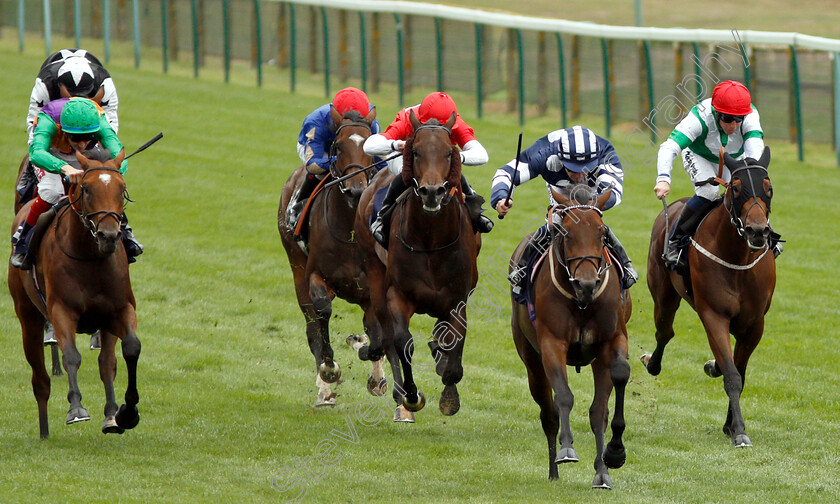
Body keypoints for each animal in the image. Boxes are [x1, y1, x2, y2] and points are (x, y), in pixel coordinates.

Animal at [8, 149, 141, 438]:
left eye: (122, 188)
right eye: (86, 188)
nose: (109, 235)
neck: (91, 258)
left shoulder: (119, 309)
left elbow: (129, 349)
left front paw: (126, 413)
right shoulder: (61, 310)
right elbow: (70, 355)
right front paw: (76, 409)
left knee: (106, 362)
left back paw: (111, 415)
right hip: (27, 315)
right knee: (39, 377)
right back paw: (44, 430)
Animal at [280, 105, 388, 406]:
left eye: (370, 147)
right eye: (337, 146)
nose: (356, 190)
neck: (349, 231)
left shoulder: (371, 288)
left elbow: (377, 338)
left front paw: (369, 362)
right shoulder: (317, 275)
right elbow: (322, 311)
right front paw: (329, 368)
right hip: (296, 267)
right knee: (312, 325)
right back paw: (324, 388)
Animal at [350, 110, 480, 422]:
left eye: (449, 153)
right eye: (416, 151)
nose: (432, 192)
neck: (431, 240)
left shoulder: (457, 298)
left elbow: (453, 345)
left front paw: (449, 395)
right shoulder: (398, 295)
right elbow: (402, 341)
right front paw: (411, 394)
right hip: (375, 275)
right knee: (386, 337)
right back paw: (400, 394)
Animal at [512, 187, 632, 486]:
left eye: (601, 232)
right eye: (566, 233)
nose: (586, 284)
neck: (582, 303)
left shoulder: (611, 341)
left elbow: (612, 389)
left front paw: (612, 457)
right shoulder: (552, 343)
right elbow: (564, 397)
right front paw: (567, 448)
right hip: (530, 359)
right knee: (548, 413)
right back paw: (553, 471)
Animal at [644, 148, 776, 446]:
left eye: (768, 188)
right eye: (736, 188)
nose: (757, 231)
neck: (738, 259)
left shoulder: (755, 325)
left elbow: (739, 371)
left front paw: (730, 425)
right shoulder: (714, 316)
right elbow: (732, 375)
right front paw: (739, 431)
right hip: (663, 295)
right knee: (664, 333)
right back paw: (651, 362)